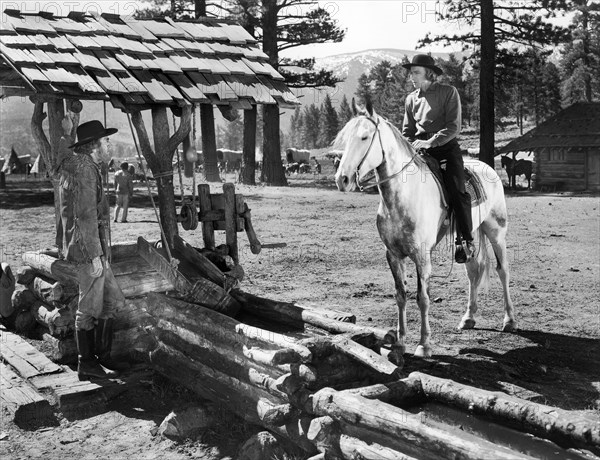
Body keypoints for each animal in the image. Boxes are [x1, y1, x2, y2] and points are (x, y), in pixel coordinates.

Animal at [332, 101, 516, 366]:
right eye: (345, 139)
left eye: (365, 137)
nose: (342, 179)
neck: (405, 196)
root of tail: (488, 167)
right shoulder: (393, 255)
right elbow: (400, 295)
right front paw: (399, 344)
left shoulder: (421, 255)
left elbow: (423, 297)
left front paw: (423, 345)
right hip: (470, 236)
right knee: (473, 272)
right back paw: (468, 318)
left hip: (496, 231)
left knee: (503, 271)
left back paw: (509, 320)